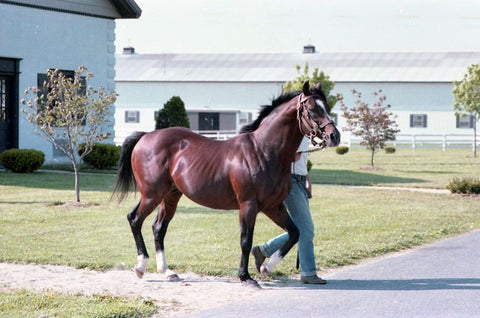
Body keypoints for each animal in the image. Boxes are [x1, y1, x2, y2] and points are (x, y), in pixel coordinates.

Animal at [112, 81, 340, 288]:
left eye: (327, 107)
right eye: (312, 109)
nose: (334, 136)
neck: (264, 150)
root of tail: (146, 136)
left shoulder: (272, 206)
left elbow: (294, 233)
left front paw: (266, 267)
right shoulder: (248, 205)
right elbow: (246, 241)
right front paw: (246, 277)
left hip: (171, 196)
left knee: (158, 228)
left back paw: (167, 271)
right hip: (152, 194)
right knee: (135, 219)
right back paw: (141, 266)